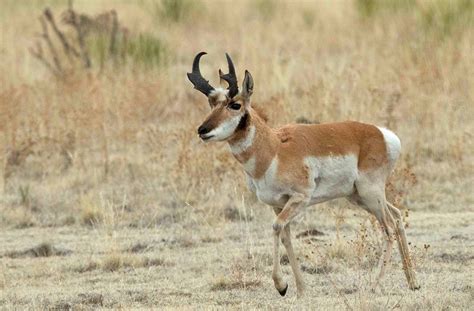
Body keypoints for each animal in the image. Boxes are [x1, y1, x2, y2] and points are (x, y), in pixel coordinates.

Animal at [187, 52, 420, 298]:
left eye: (235, 104)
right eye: (212, 103)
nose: (202, 130)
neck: (273, 148)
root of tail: (382, 134)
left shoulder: (299, 198)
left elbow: (276, 227)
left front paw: (281, 285)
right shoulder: (278, 204)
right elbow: (286, 236)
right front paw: (299, 289)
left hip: (370, 194)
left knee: (389, 227)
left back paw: (374, 285)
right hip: (360, 197)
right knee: (397, 216)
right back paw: (413, 282)